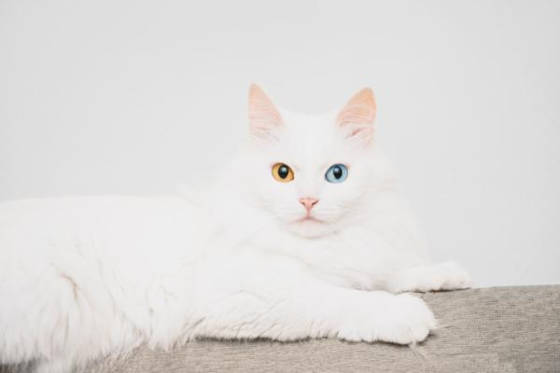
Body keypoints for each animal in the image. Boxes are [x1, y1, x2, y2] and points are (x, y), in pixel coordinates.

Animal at [0, 85, 472, 370]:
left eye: (336, 175)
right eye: (282, 173)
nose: (308, 201)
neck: (317, 247)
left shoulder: (363, 259)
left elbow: (392, 272)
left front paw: (445, 275)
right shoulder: (248, 293)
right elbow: (340, 299)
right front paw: (405, 315)